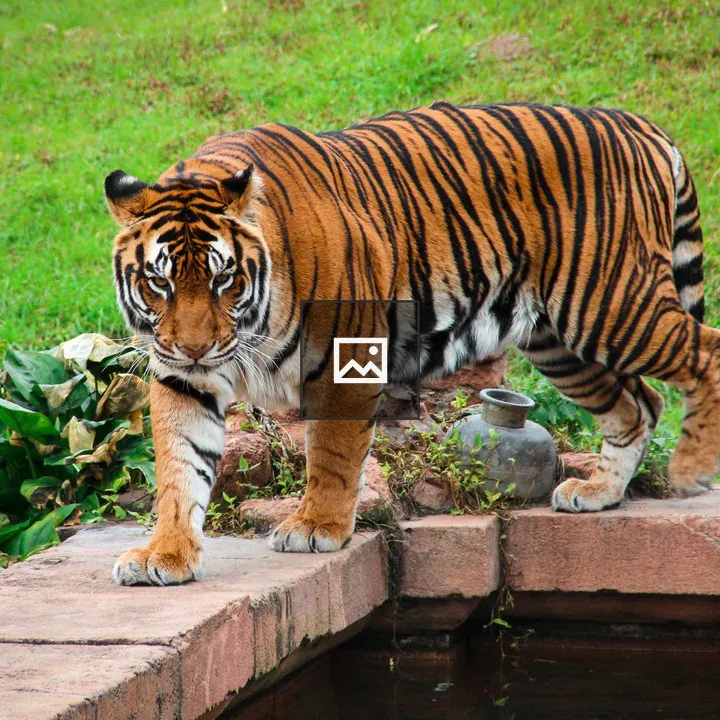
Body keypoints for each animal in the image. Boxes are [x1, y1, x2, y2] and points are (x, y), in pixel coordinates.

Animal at [105, 101, 715, 586]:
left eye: (223, 279)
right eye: (159, 282)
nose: (195, 347)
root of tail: (637, 124)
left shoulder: (345, 354)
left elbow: (332, 454)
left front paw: (316, 527)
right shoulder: (183, 379)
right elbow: (180, 469)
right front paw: (165, 555)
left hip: (611, 305)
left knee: (706, 353)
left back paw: (692, 471)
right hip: (559, 342)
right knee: (641, 403)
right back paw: (598, 492)